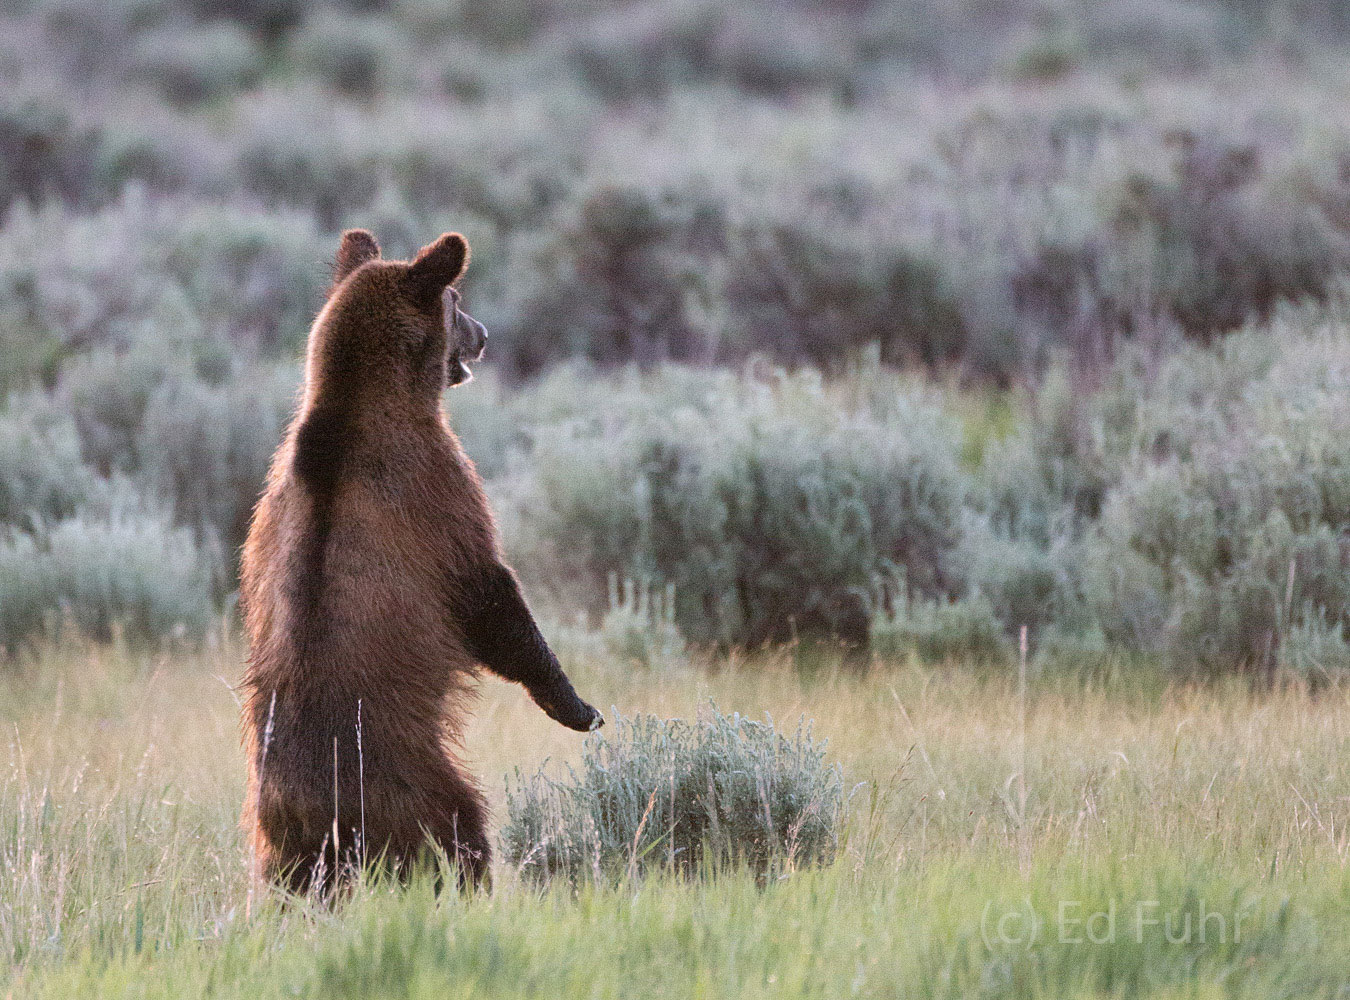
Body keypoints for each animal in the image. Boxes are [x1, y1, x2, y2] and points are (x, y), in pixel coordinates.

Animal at [240, 228, 604, 890]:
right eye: (456, 301)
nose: (484, 333)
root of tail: (311, 807)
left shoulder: (271, 503)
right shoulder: (438, 489)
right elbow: (491, 594)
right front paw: (577, 706)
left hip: (279, 842)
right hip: (415, 786)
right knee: (461, 837)